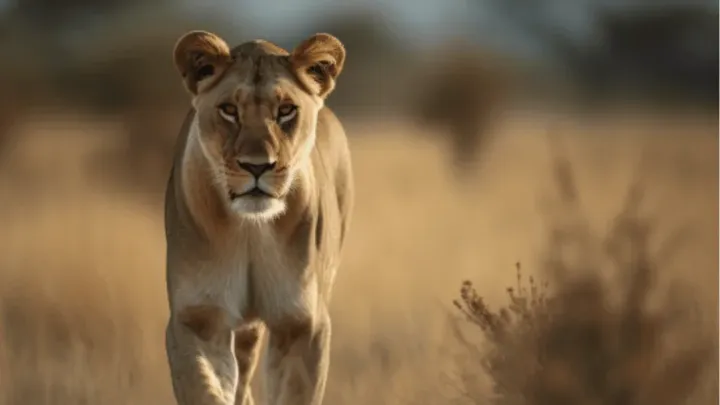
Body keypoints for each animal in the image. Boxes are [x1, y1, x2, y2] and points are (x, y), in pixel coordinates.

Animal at [163, 30, 353, 405]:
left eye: (286, 111)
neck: (251, 230)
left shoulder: (302, 324)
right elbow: (204, 389)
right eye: (229, 110)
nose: (257, 166)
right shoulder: (197, 319)